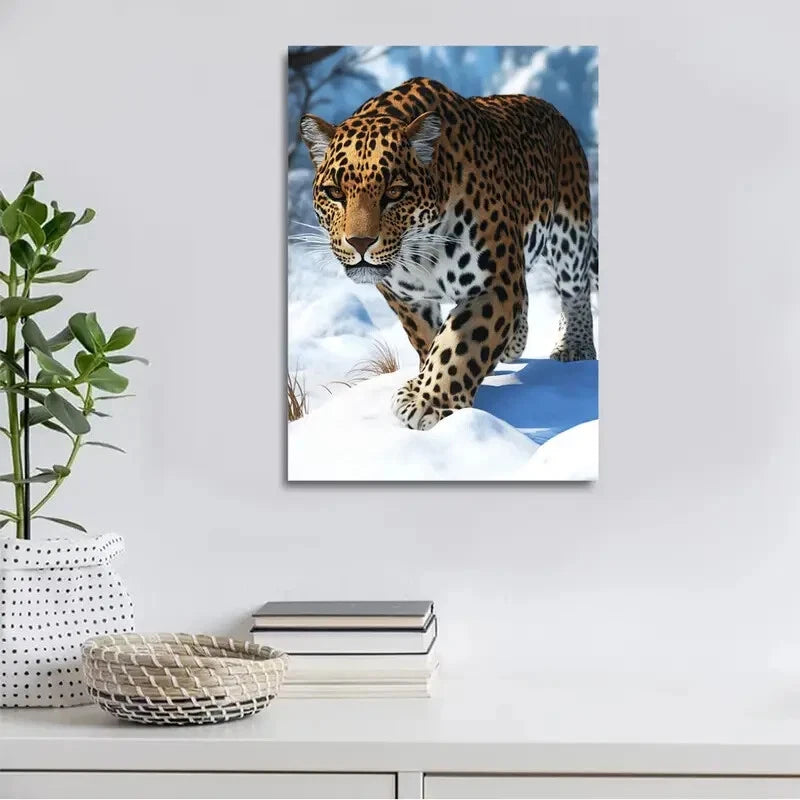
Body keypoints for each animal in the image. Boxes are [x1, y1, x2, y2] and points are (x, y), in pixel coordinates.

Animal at [299, 76, 597, 431]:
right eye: (334, 193)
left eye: (394, 193)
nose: (359, 242)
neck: (418, 250)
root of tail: (553, 111)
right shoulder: (406, 298)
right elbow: (428, 339)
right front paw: (424, 381)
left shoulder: (493, 284)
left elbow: (459, 344)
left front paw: (426, 401)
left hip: (570, 232)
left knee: (575, 289)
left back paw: (575, 346)